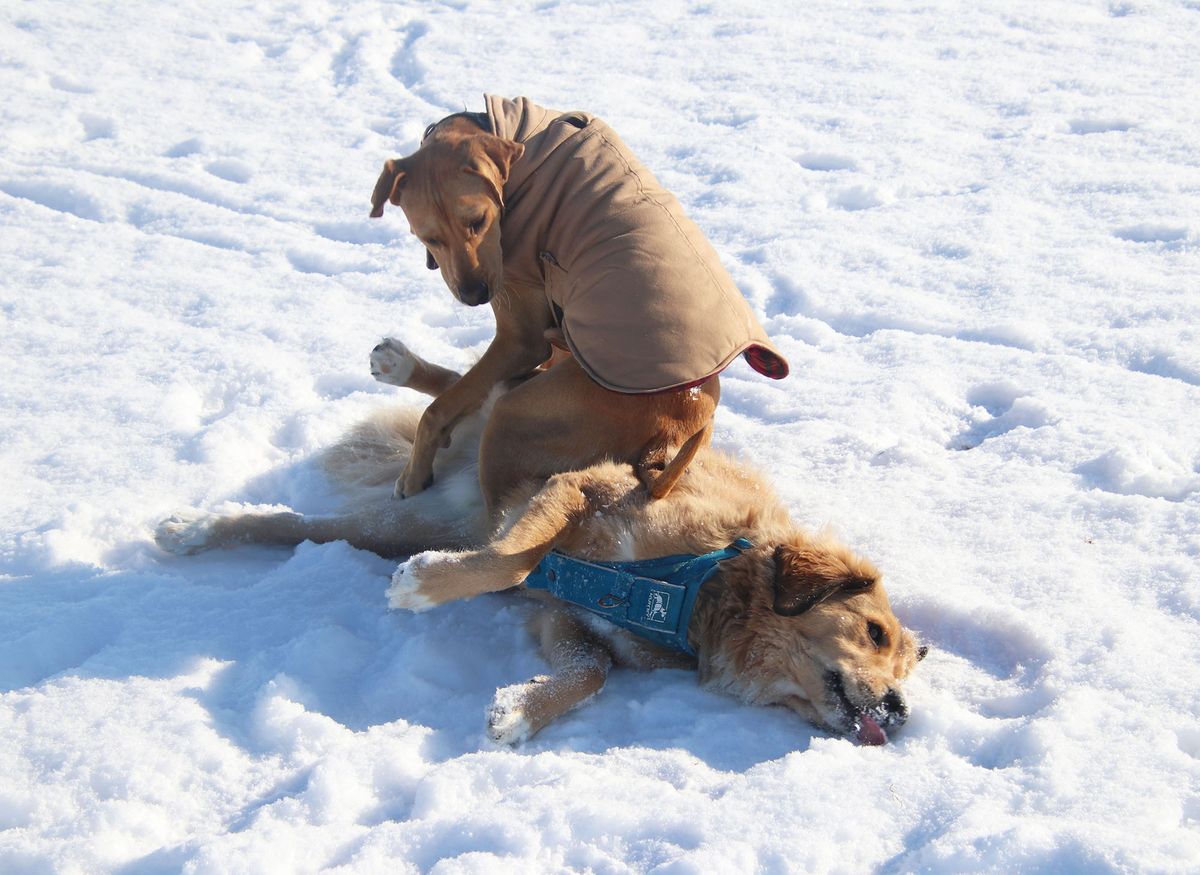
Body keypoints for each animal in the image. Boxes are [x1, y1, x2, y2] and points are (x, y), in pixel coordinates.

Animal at [157, 338, 926, 739]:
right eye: (875, 633)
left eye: (906, 668)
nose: (899, 710)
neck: (702, 591)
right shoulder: (575, 491)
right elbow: (512, 558)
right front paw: (426, 586)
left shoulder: (572, 620)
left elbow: (591, 672)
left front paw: (522, 710)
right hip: (466, 473)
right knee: (478, 388)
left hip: (402, 525)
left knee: (302, 522)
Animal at [369, 97, 792, 511]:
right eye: (429, 238)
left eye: (478, 220)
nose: (474, 296)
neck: (511, 136)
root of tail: (683, 422)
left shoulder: (521, 337)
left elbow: (439, 410)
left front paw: (415, 472)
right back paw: (398, 365)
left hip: (518, 414)